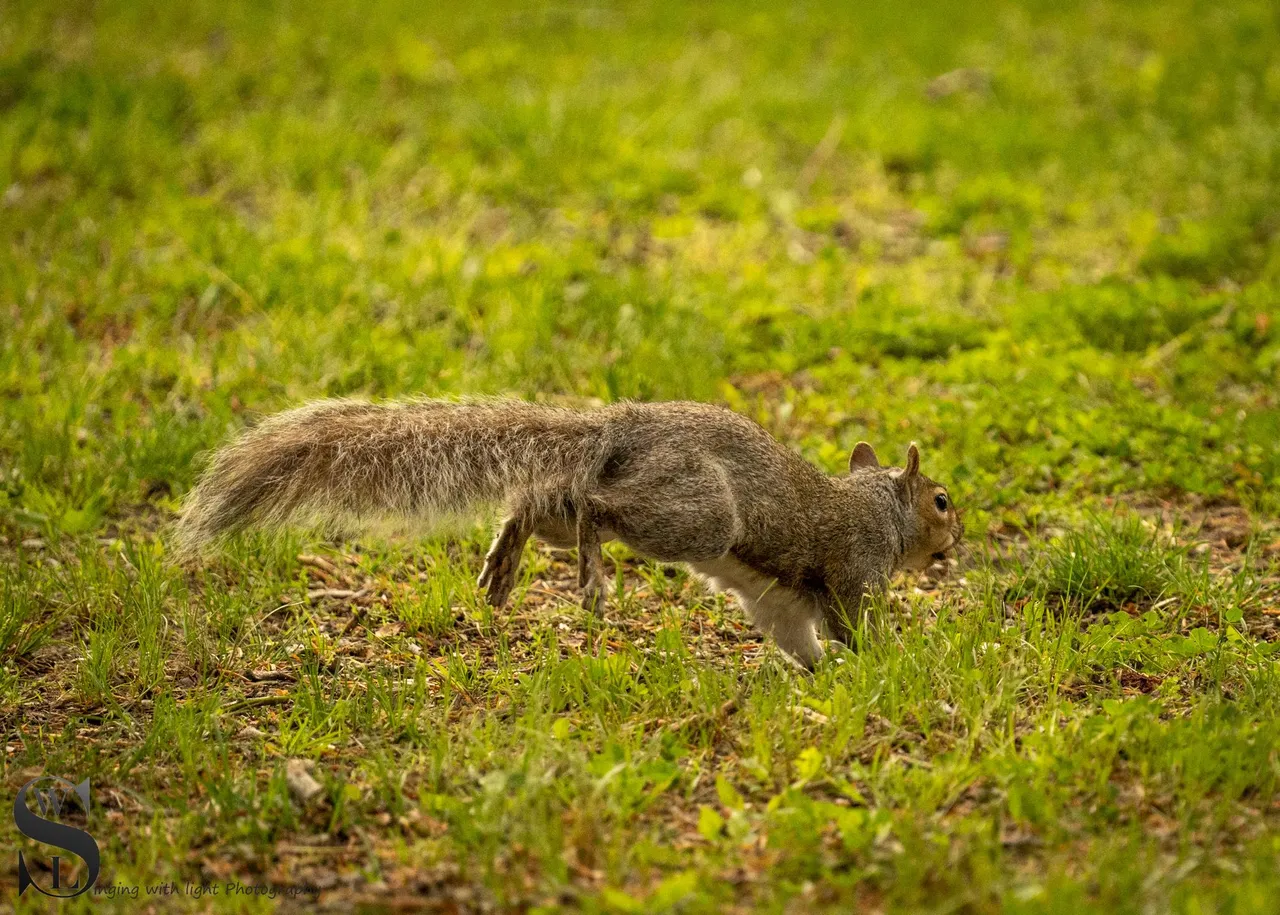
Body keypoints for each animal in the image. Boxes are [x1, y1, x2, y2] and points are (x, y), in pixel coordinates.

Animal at [176, 398, 963, 669]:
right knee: (595, 508)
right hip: (699, 520)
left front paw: (817, 674)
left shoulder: (780, 603)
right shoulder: (853, 570)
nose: (956, 548)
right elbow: (852, 621)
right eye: (943, 501)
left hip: (619, 508)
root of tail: (621, 425)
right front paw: (883, 660)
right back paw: (590, 577)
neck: (878, 505)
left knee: (534, 503)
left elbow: (795, 637)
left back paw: (502, 565)